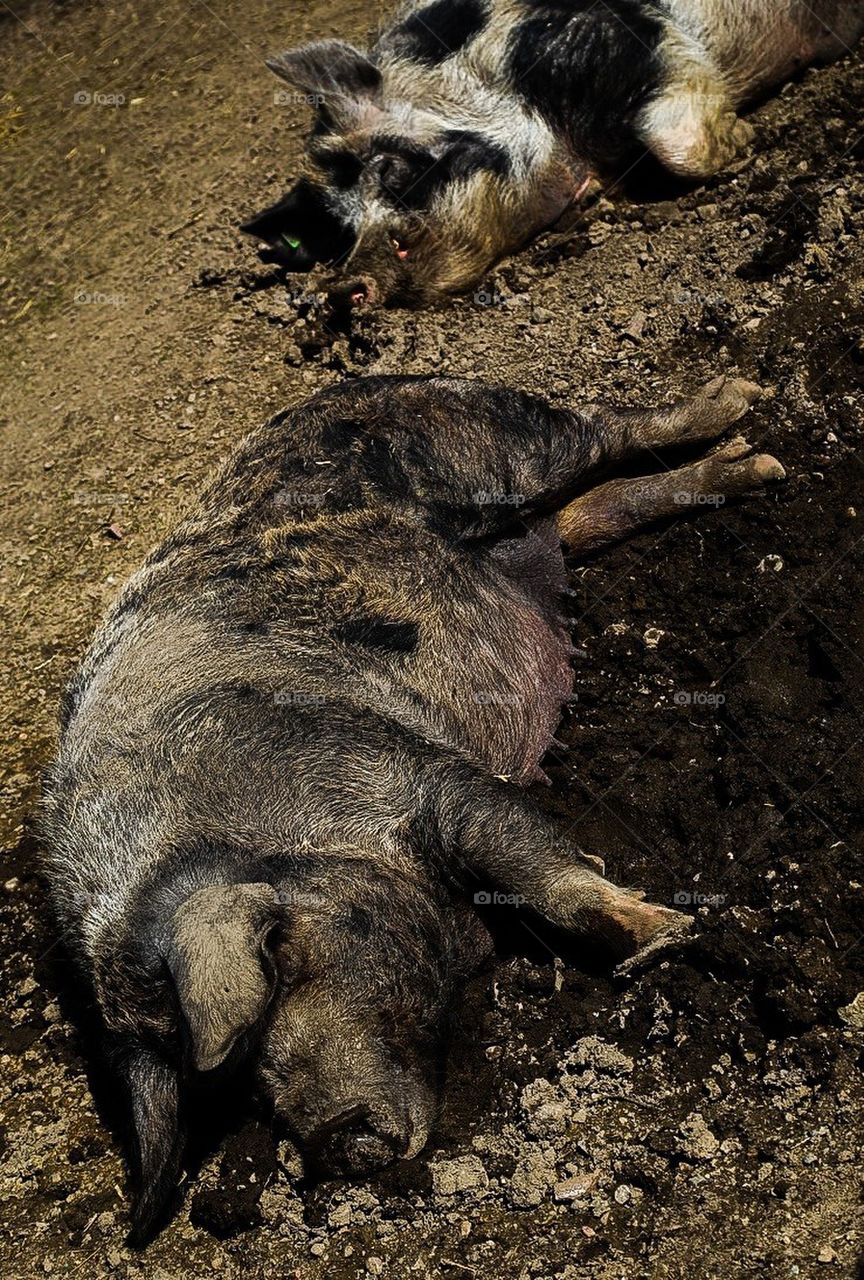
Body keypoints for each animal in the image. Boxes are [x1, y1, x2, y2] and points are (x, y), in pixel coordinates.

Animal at [38, 371, 783, 1239]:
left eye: (276, 970)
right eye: (225, 1089)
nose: (333, 1141)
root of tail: (340, 387)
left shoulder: (417, 775)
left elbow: (535, 865)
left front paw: (663, 940)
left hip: (489, 439)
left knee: (605, 429)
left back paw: (746, 423)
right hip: (516, 526)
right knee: (582, 516)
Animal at [238, 0, 864, 304]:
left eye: (388, 167)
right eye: (342, 230)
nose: (343, 287)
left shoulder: (620, 36)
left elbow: (675, 141)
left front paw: (748, 137)